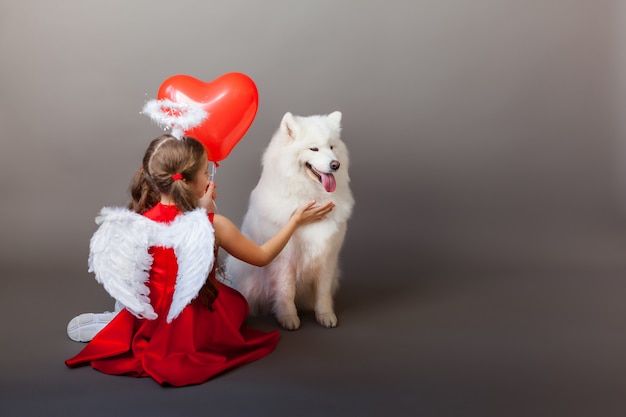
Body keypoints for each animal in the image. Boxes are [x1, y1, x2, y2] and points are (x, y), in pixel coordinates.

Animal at [225, 110, 354, 328]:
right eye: (314, 148)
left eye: (331, 147)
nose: (335, 165)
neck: (311, 194)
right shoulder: (283, 259)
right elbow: (286, 290)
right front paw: (288, 317)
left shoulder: (328, 257)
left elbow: (323, 291)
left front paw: (325, 315)